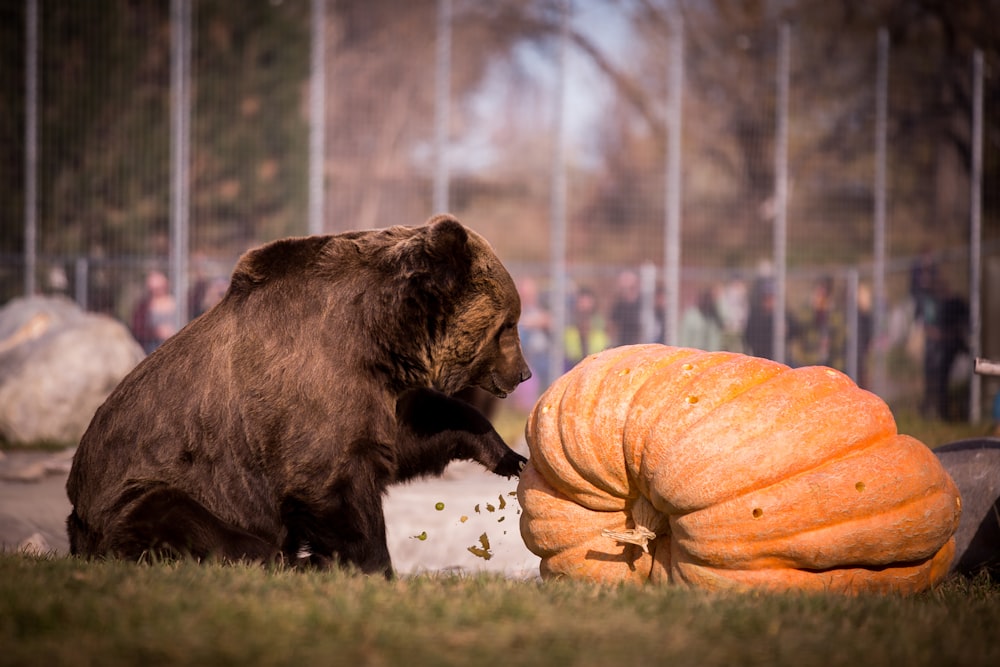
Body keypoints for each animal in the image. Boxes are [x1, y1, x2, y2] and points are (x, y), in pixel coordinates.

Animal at [66, 213, 532, 576]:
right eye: (508, 324)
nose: (524, 373)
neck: (376, 332)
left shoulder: (372, 392)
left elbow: (410, 433)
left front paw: (509, 455)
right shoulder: (310, 391)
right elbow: (334, 483)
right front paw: (367, 564)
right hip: (147, 488)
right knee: (183, 520)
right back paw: (284, 558)